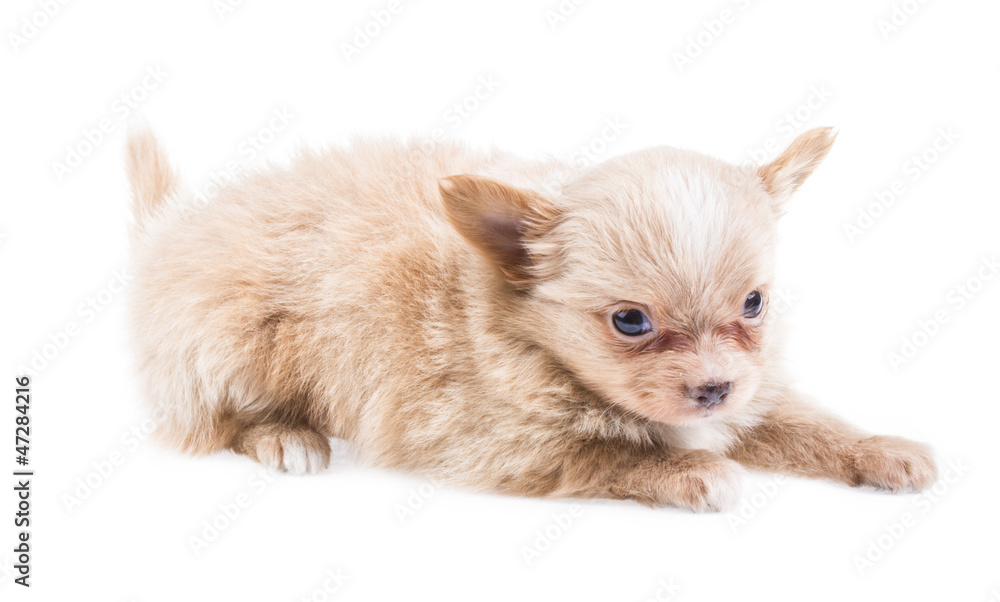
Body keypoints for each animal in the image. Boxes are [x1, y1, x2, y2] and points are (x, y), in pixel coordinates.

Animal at [127, 127, 936, 510]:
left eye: (754, 304)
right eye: (631, 322)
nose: (711, 390)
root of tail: (175, 226)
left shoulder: (753, 389)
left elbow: (806, 424)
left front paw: (880, 449)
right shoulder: (496, 441)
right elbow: (609, 453)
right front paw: (690, 468)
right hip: (226, 344)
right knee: (216, 418)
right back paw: (285, 435)